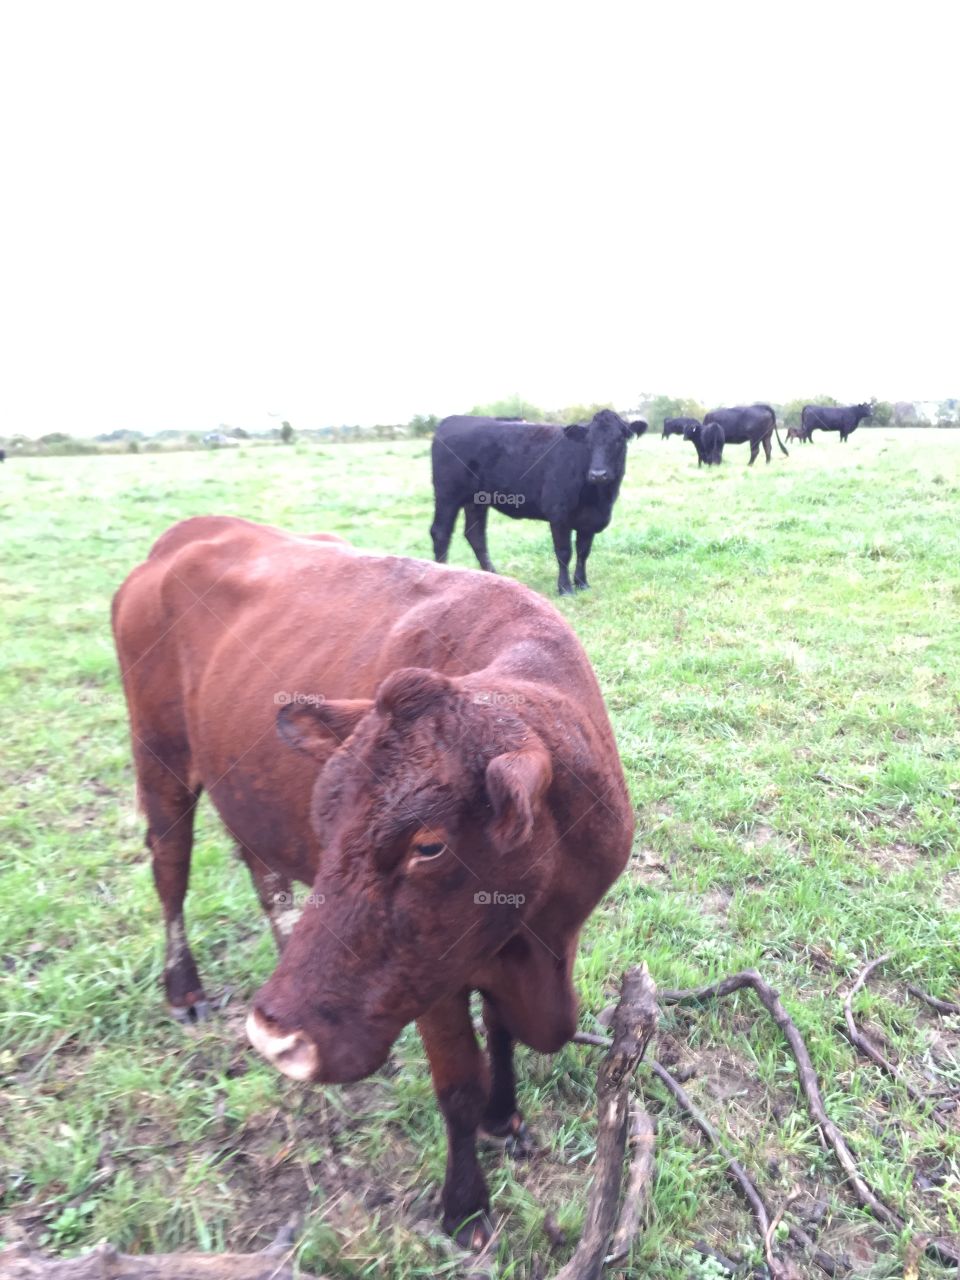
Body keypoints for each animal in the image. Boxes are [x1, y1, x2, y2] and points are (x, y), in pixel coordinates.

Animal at [112, 516, 633, 1249]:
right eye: (324, 815)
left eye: (429, 846)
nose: (276, 1035)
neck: (539, 943)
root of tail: (191, 533)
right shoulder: (429, 976)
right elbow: (458, 1084)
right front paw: (465, 1206)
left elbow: (500, 1033)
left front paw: (505, 1117)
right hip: (158, 761)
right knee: (170, 871)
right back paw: (183, 988)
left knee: (263, 873)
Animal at [430, 410, 647, 595]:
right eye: (588, 441)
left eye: (619, 440)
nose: (598, 474)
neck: (599, 498)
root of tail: (452, 420)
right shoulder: (559, 514)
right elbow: (564, 552)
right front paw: (565, 588)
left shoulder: (590, 519)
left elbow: (584, 551)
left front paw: (582, 583)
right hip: (447, 494)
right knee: (440, 532)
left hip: (476, 500)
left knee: (475, 535)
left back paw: (492, 575)